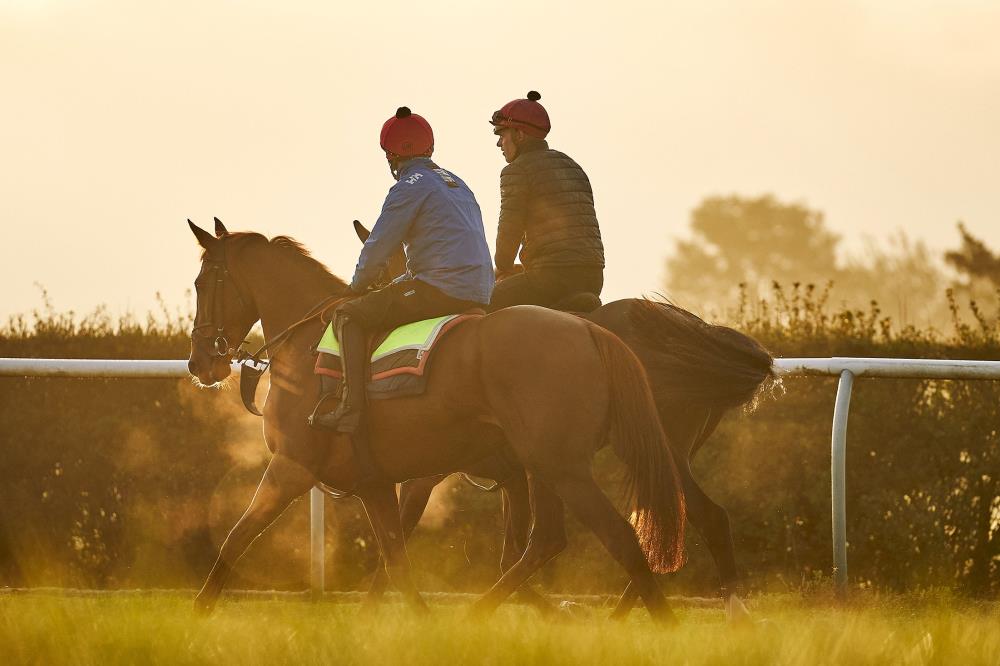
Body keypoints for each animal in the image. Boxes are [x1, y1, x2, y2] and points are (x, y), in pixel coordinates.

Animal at [185, 218, 686, 621]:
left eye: (203, 282)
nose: (198, 362)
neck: (309, 347)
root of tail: (587, 328)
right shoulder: (375, 484)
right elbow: (396, 560)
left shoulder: (292, 467)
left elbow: (236, 536)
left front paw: (199, 610)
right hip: (545, 469)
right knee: (546, 541)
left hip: (561, 469)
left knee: (620, 537)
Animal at [350, 222, 777, 621]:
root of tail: (697, 330)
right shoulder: (512, 474)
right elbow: (510, 552)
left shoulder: (430, 476)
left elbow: (398, 542)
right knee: (680, 521)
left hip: (646, 449)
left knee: (699, 518)